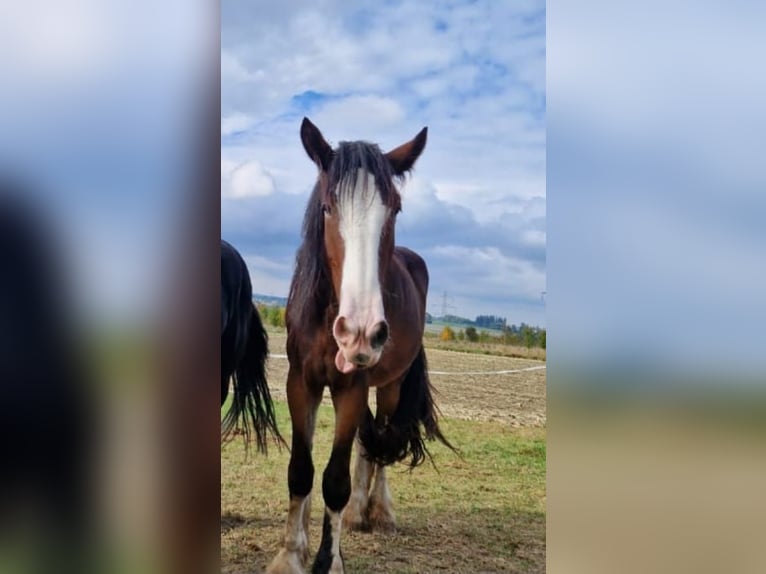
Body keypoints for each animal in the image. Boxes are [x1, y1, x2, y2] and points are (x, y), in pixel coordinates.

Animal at [267, 118, 454, 574]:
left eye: (395, 209)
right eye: (327, 208)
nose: (360, 333)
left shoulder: (351, 386)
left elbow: (335, 478)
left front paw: (330, 559)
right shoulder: (301, 383)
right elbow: (301, 468)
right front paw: (291, 552)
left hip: (389, 385)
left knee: (383, 438)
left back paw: (374, 511)